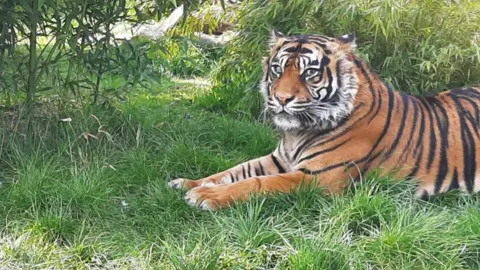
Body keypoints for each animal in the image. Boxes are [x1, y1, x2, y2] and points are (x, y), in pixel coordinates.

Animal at [168, 30, 480, 211]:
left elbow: (258, 183)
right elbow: (232, 171)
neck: (297, 133)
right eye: (278, 69)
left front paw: (206, 196)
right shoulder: (277, 159)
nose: (281, 99)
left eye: (309, 73)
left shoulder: (319, 178)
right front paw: (188, 183)